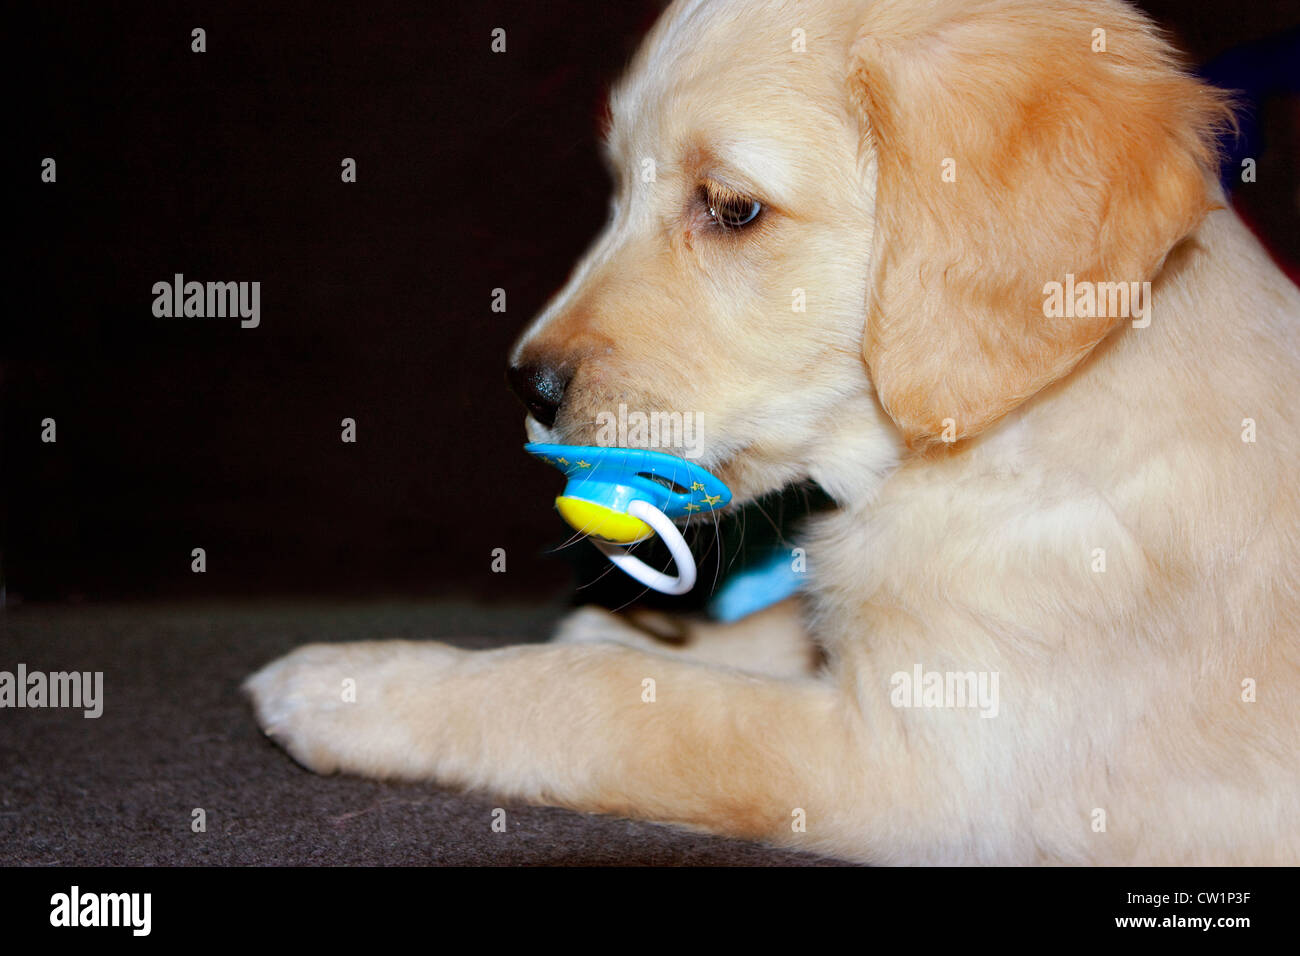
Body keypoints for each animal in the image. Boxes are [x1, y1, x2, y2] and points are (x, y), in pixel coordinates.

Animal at [245, 0, 1300, 868]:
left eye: (732, 208)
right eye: (621, 187)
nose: (527, 384)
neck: (1021, 436)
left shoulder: (923, 771)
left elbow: (610, 700)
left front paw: (360, 685)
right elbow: (772, 629)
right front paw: (640, 633)